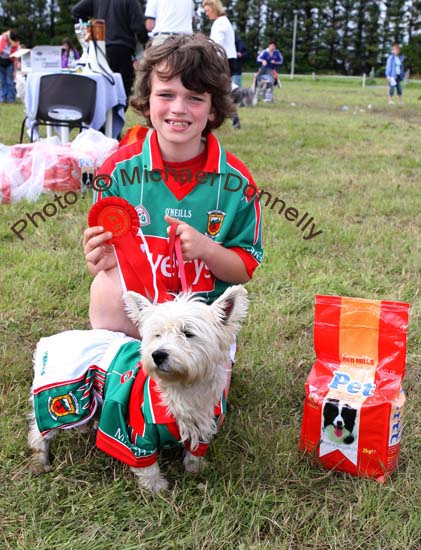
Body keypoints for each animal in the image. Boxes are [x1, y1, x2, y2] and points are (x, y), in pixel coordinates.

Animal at [27, 284, 248, 496]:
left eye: (188, 333)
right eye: (157, 334)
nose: (158, 355)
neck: (182, 389)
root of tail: (49, 341)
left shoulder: (204, 424)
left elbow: (196, 452)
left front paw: (195, 468)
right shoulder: (134, 431)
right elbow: (146, 465)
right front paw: (156, 488)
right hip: (64, 399)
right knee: (39, 429)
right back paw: (40, 458)